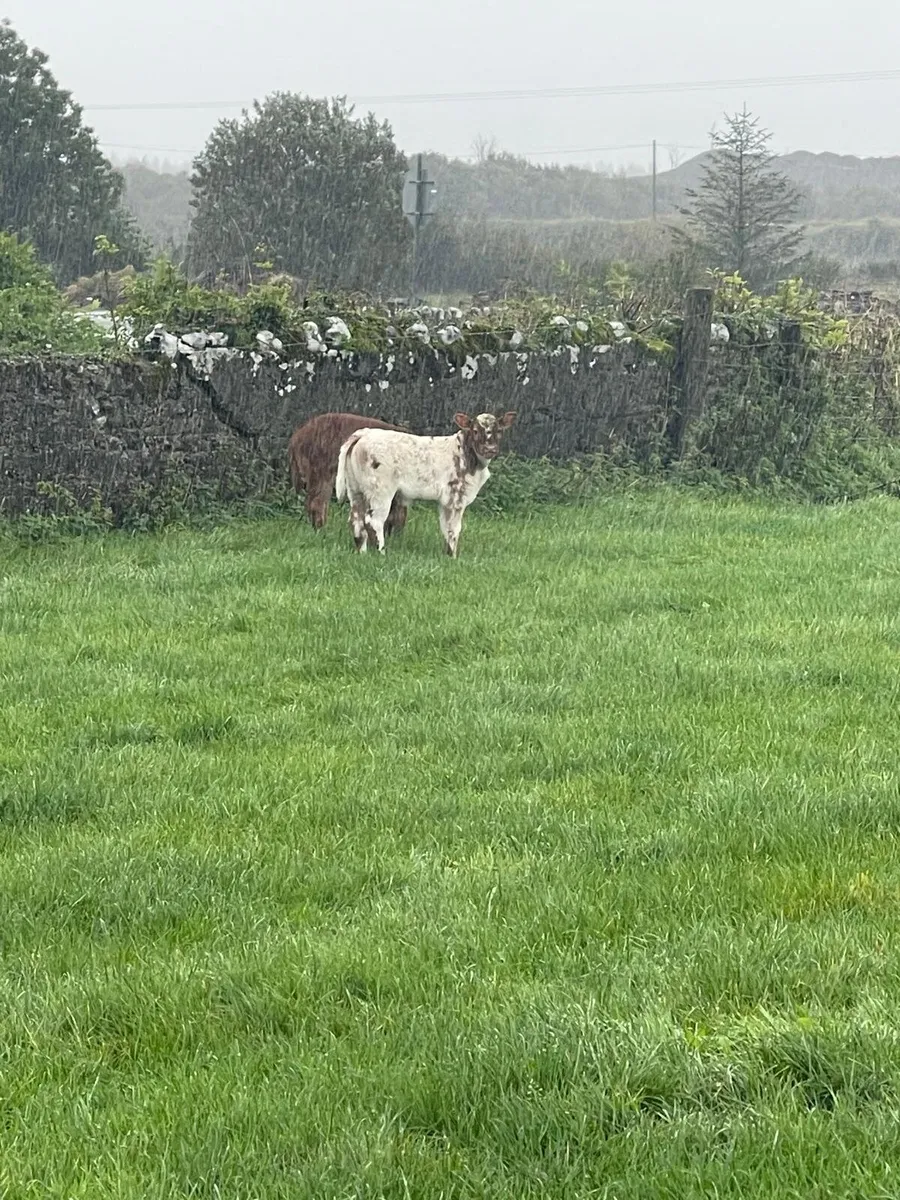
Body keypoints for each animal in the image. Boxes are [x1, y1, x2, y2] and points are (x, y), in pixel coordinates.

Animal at [334, 411, 516, 557]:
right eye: (475, 431)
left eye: (499, 431)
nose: (490, 449)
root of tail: (363, 434)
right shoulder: (456, 498)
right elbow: (454, 529)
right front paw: (453, 556)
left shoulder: (445, 502)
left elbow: (445, 527)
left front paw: (447, 555)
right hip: (380, 491)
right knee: (374, 521)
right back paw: (381, 553)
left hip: (355, 490)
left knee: (356, 520)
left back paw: (362, 552)